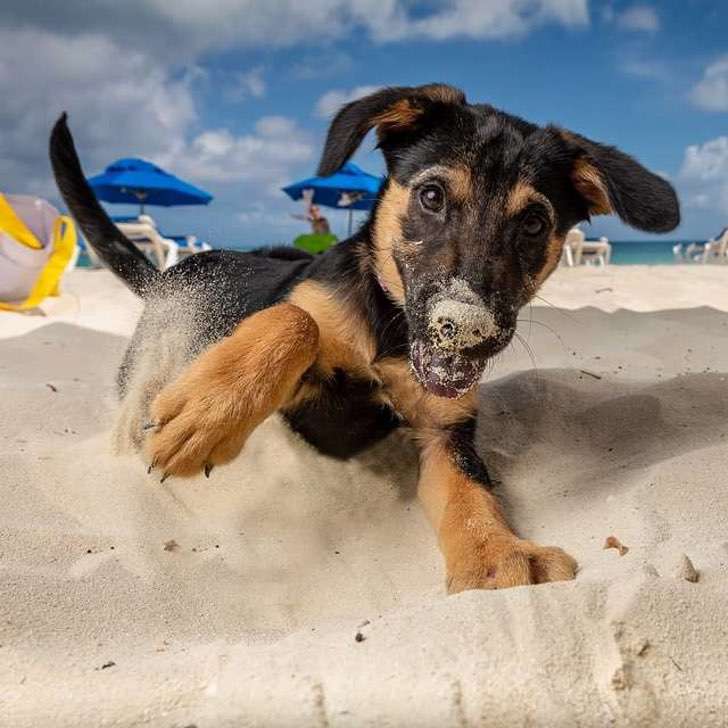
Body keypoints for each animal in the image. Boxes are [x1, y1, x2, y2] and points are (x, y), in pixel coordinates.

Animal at [48, 85, 680, 596]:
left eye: (534, 223)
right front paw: (207, 414)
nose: (465, 331)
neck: (390, 332)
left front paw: (497, 555)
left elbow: (470, 492)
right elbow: (296, 320)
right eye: (431, 196)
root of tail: (164, 278)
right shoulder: (305, 383)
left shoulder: (444, 433)